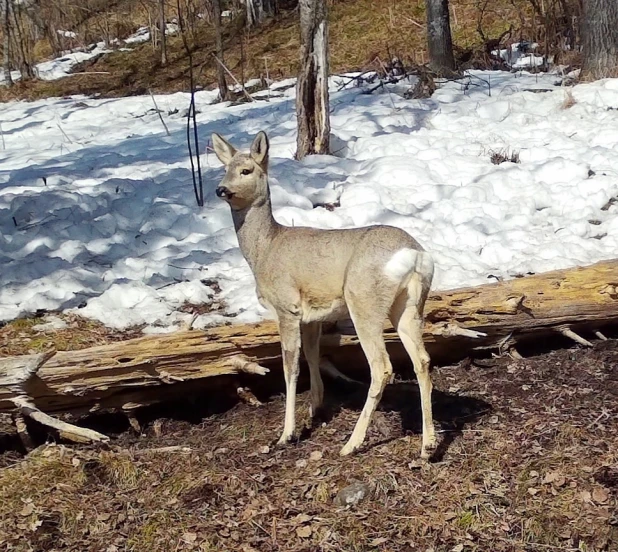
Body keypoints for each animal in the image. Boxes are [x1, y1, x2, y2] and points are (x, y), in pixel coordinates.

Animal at [212, 130, 438, 458]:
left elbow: (290, 367)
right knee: (421, 359)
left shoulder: (287, 307)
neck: (265, 249)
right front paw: (314, 410)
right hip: (410, 306)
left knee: (382, 366)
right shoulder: (312, 316)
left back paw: (352, 444)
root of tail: (415, 255)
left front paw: (287, 433)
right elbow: (312, 354)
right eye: (224, 168)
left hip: (364, 301)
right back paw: (428, 445)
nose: (221, 189)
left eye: (246, 170)